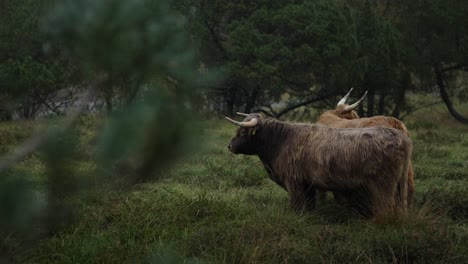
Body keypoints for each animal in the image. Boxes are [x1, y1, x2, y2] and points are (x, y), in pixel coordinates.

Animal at [225, 112, 412, 216]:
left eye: (242, 132)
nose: (230, 146)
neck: (280, 142)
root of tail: (401, 137)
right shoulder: (308, 185)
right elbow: (309, 206)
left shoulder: (294, 183)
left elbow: (297, 206)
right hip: (399, 185)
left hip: (383, 185)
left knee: (386, 207)